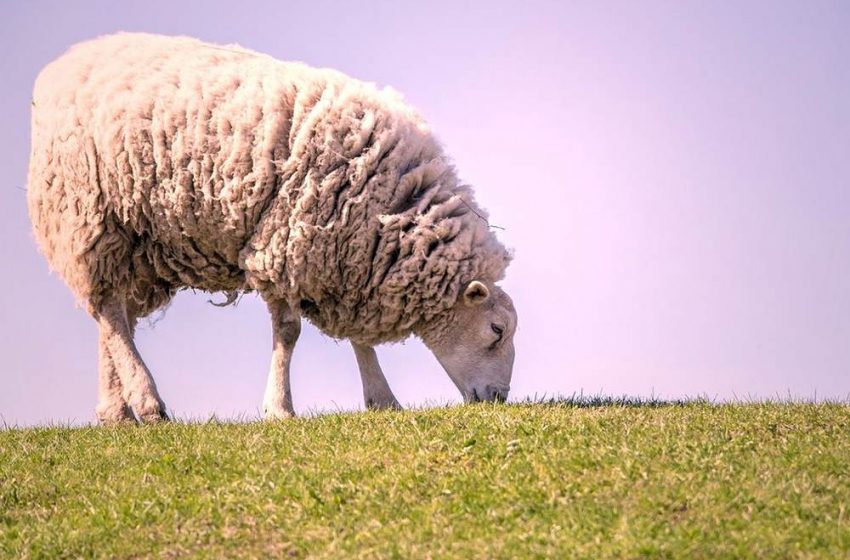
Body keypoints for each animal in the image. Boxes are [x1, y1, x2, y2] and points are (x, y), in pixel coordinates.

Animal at [27, 32, 518, 423]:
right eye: (496, 330)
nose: (498, 399)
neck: (388, 207)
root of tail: (61, 66)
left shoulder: (348, 261)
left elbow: (358, 339)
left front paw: (382, 399)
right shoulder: (287, 245)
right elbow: (289, 332)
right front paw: (279, 407)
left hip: (137, 242)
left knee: (114, 317)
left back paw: (116, 410)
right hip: (89, 213)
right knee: (109, 311)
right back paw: (147, 402)